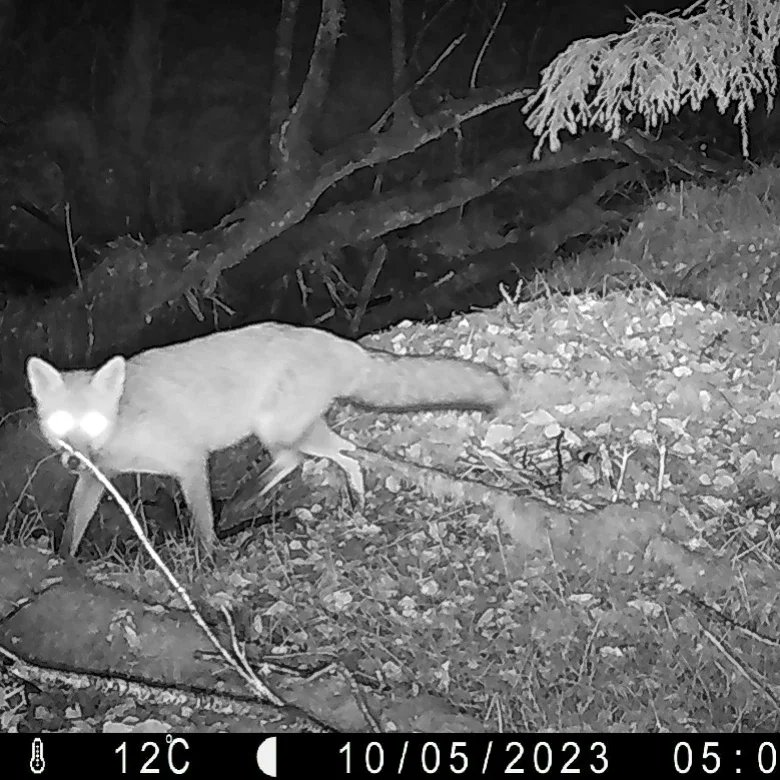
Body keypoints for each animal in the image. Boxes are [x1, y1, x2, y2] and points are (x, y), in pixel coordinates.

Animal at [26, 322, 508, 558]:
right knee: (323, 454)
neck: (124, 422)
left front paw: (207, 561)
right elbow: (73, 525)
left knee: (318, 455)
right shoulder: (98, 476)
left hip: (276, 428)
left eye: (93, 422)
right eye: (61, 423)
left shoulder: (189, 460)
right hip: (287, 430)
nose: (74, 459)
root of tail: (342, 344)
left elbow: (202, 522)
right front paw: (64, 562)